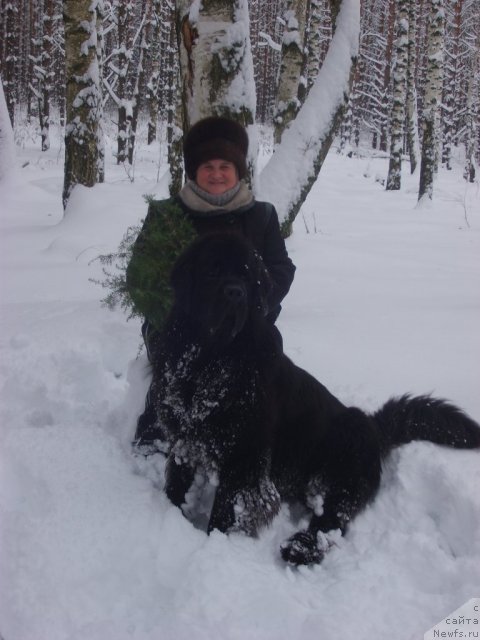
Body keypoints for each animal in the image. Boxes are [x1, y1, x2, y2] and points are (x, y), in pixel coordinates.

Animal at [144, 232, 480, 564]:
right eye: (212, 271)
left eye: (246, 276)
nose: (235, 293)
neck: (211, 360)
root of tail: (375, 429)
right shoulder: (186, 440)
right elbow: (177, 483)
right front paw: (171, 513)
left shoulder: (245, 458)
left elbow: (227, 509)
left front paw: (215, 542)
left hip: (344, 453)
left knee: (333, 519)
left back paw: (301, 547)